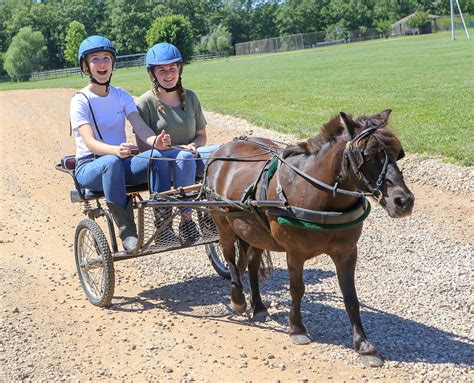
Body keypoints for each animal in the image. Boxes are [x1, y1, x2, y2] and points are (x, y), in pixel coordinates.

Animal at [206, 109, 412, 368]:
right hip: (222, 221)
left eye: (397, 153)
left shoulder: (347, 252)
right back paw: (238, 300)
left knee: (251, 263)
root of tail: (222, 149)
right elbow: (297, 289)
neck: (317, 194)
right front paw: (297, 329)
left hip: (254, 230)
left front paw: (364, 346)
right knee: (231, 260)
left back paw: (259, 306)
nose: (404, 201)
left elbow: (351, 297)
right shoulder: (295, 252)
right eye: (366, 156)